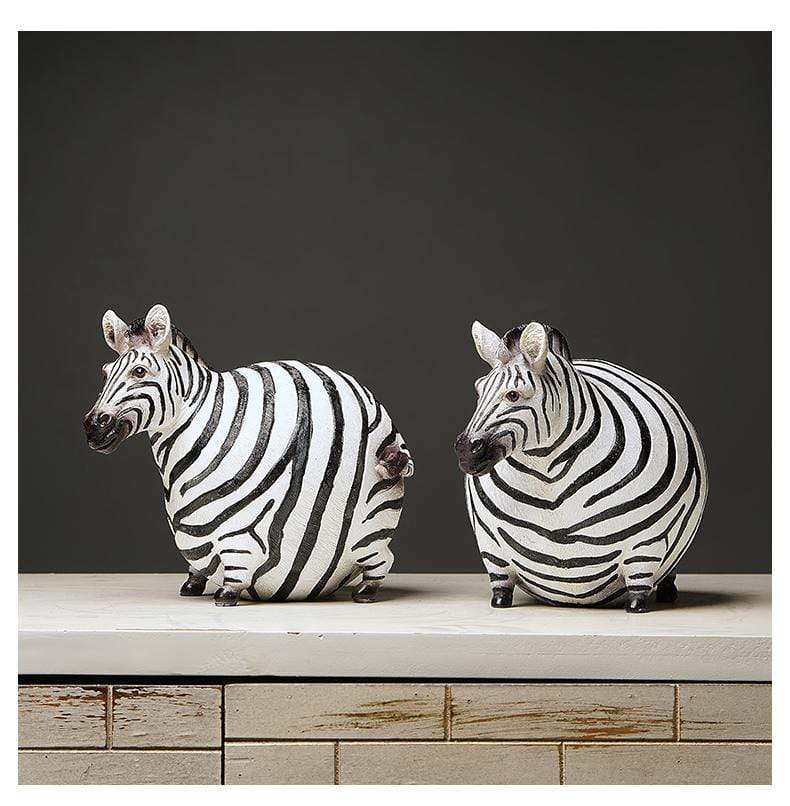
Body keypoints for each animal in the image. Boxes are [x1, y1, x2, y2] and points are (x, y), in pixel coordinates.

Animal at [83, 304, 413, 606]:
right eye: (104, 373)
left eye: (139, 372)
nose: (92, 426)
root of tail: (375, 407)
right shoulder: (197, 539)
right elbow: (196, 566)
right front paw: (192, 584)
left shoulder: (241, 534)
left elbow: (235, 569)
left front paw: (226, 594)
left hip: (369, 530)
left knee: (381, 559)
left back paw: (366, 591)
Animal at [454, 320, 707, 613]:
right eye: (478, 390)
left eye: (513, 395)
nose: (464, 450)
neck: (547, 473)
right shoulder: (492, 548)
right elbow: (500, 579)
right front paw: (500, 600)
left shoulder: (646, 545)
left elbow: (639, 580)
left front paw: (636, 605)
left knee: (667, 573)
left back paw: (667, 593)